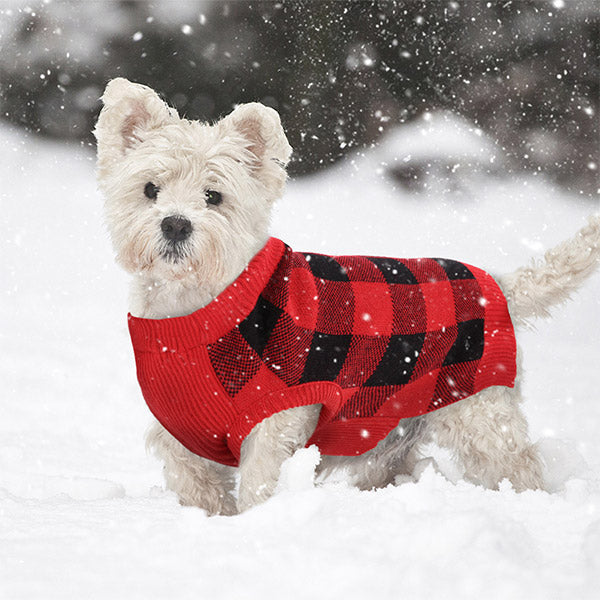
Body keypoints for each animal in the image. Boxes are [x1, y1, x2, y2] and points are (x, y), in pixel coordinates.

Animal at [95, 77, 600, 512]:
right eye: (150, 189)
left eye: (214, 196)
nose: (175, 224)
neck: (194, 311)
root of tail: (497, 284)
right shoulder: (180, 435)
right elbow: (198, 489)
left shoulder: (277, 419)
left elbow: (260, 483)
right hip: (390, 428)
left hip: (480, 414)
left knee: (517, 467)